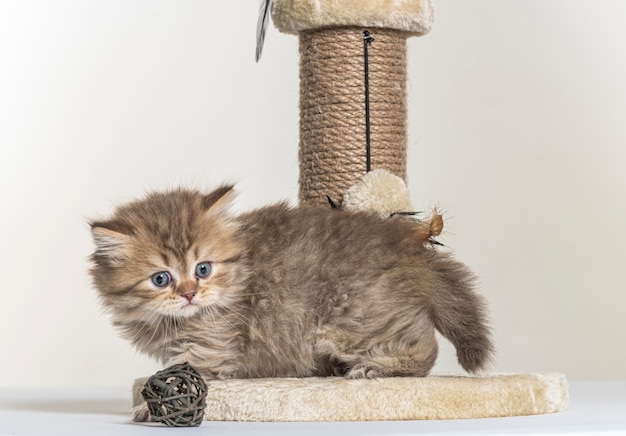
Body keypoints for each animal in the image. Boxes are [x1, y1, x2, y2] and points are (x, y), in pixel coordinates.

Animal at [89, 186, 492, 418]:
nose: (189, 294)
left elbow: (190, 373)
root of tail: (402, 244)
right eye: (161, 279)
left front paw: (148, 407)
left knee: (424, 346)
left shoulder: (213, 345)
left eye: (203, 269)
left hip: (350, 319)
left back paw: (374, 368)